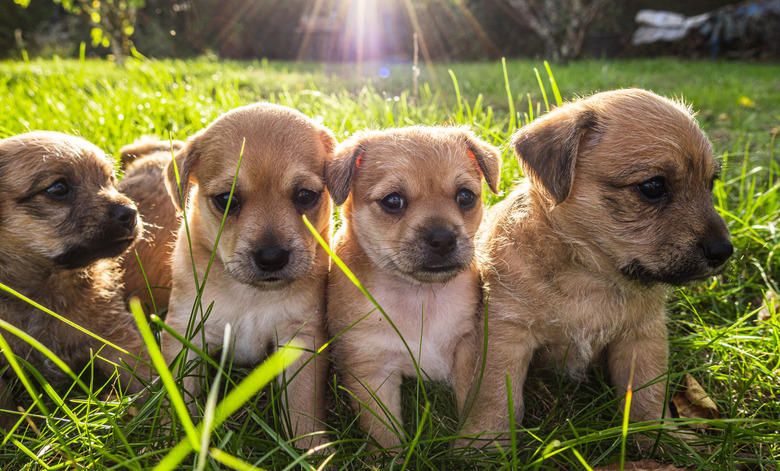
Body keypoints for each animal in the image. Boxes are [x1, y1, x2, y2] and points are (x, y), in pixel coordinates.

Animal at [0, 131, 151, 430]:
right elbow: (5, 408)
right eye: (58, 188)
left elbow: (148, 374)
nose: (131, 212)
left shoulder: (115, 336)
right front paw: (17, 432)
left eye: (110, 180)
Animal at [161, 103, 336, 450]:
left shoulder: (300, 338)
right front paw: (172, 438)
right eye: (226, 199)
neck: (250, 295)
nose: (271, 257)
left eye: (305, 195)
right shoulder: (186, 331)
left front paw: (309, 450)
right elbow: (180, 392)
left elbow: (302, 403)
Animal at [326, 125, 502, 450]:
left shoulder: (468, 350)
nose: (442, 238)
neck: (418, 296)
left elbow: (472, 406)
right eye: (393, 201)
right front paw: (391, 456)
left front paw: (471, 449)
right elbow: (384, 434)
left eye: (465, 197)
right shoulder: (371, 372)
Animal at [460, 90, 736, 448]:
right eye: (653, 186)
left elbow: (647, 394)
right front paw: (483, 442)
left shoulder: (642, 337)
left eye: (710, 184)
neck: (590, 275)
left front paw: (662, 438)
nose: (724, 251)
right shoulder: (506, 333)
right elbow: (494, 394)